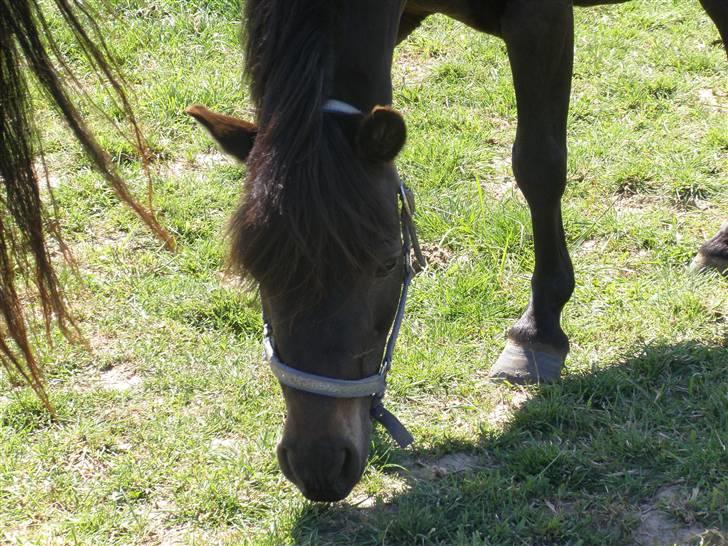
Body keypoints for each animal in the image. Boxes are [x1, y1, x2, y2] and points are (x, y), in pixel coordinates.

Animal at [187, 0, 728, 501]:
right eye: (255, 271)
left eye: (387, 263)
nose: (318, 464)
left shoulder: (540, 20)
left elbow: (538, 165)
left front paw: (538, 332)